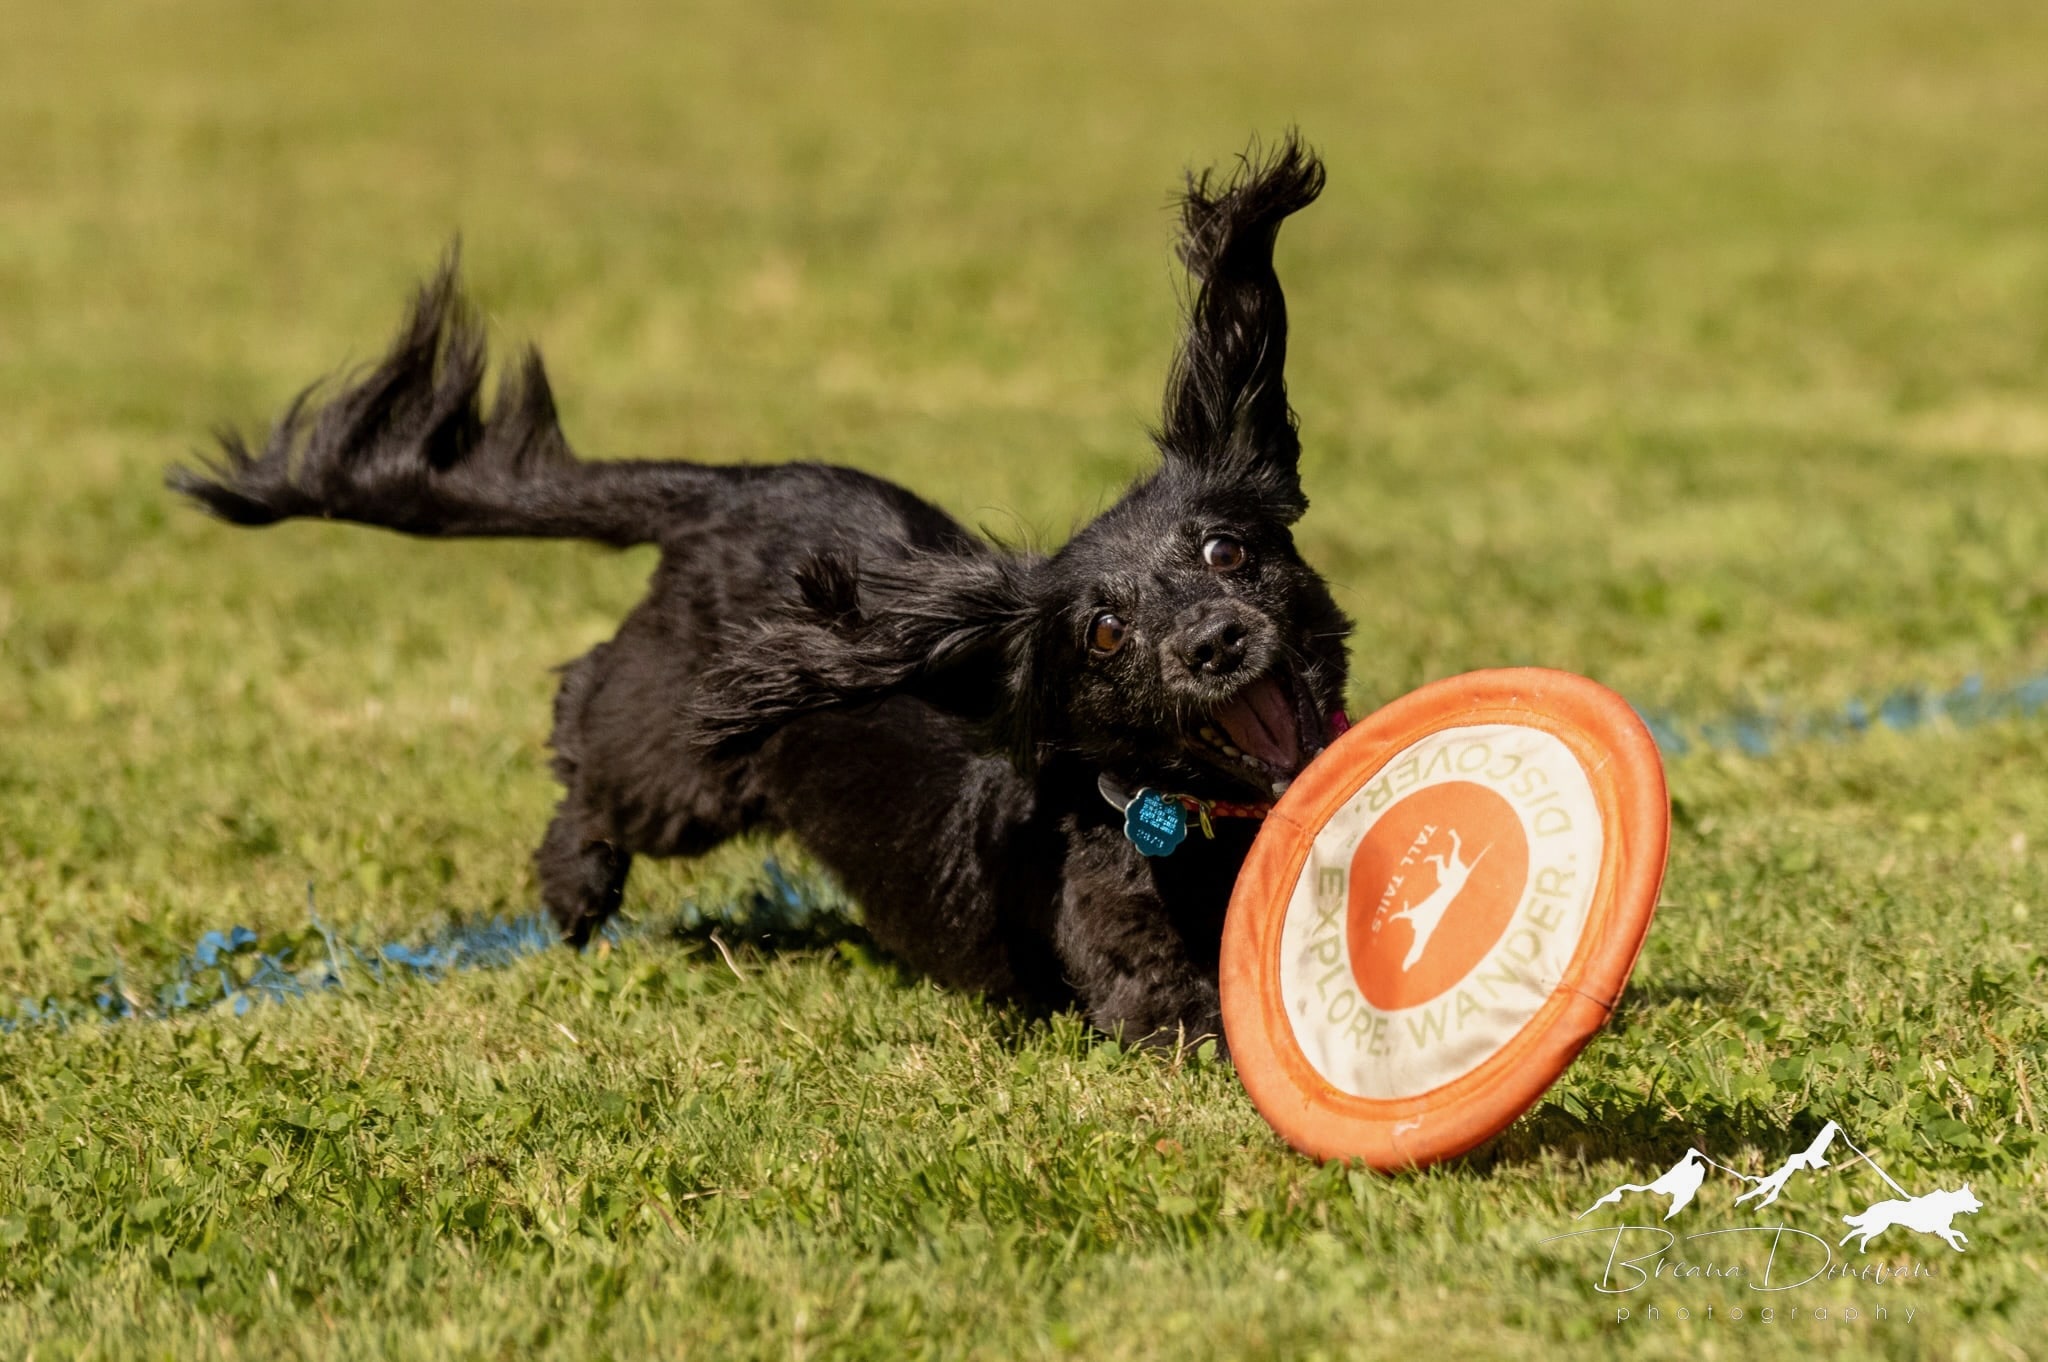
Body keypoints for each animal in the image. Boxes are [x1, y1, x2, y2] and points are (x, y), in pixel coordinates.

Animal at [176, 138, 1351, 1044]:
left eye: (1225, 553)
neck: (1207, 826)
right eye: (1103, 631)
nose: (1214, 643)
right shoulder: (1139, 977)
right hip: (677, 769)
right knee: (590, 722)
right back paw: (573, 885)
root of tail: (730, 486)